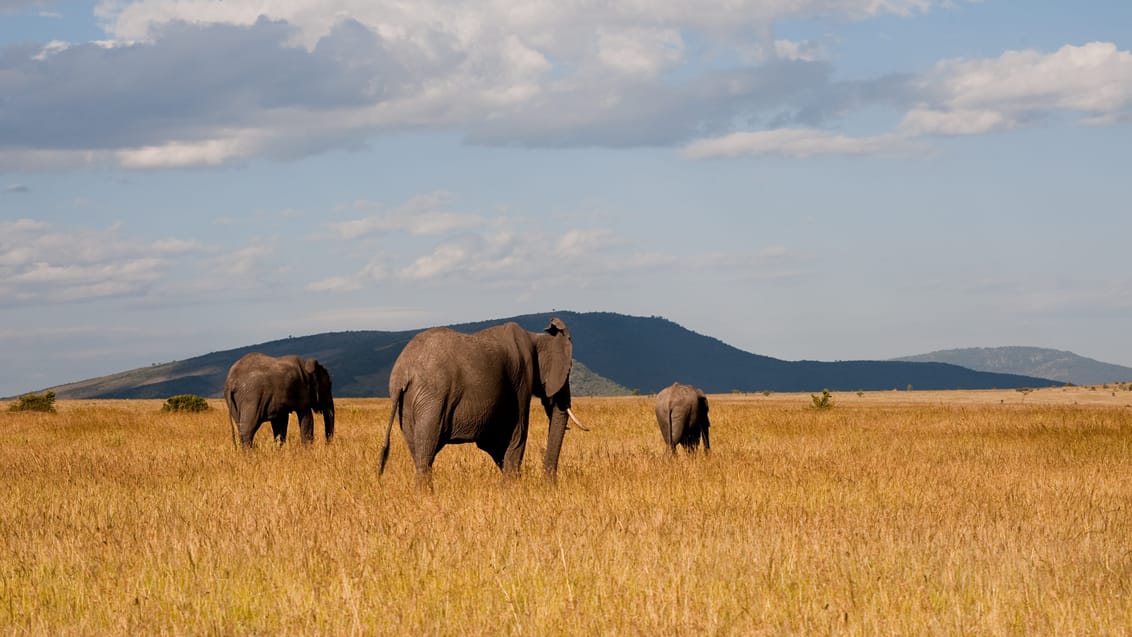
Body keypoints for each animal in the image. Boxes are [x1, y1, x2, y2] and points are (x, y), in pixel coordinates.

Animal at [380, 316, 584, 488]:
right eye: (568, 370)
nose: (549, 485)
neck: (535, 337)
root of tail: (402, 372)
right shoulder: (522, 380)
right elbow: (517, 435)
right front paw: (513, 491)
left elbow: (497, 444)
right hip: (432, 397)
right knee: (427, 448)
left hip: (408, 403)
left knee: (417, 449)